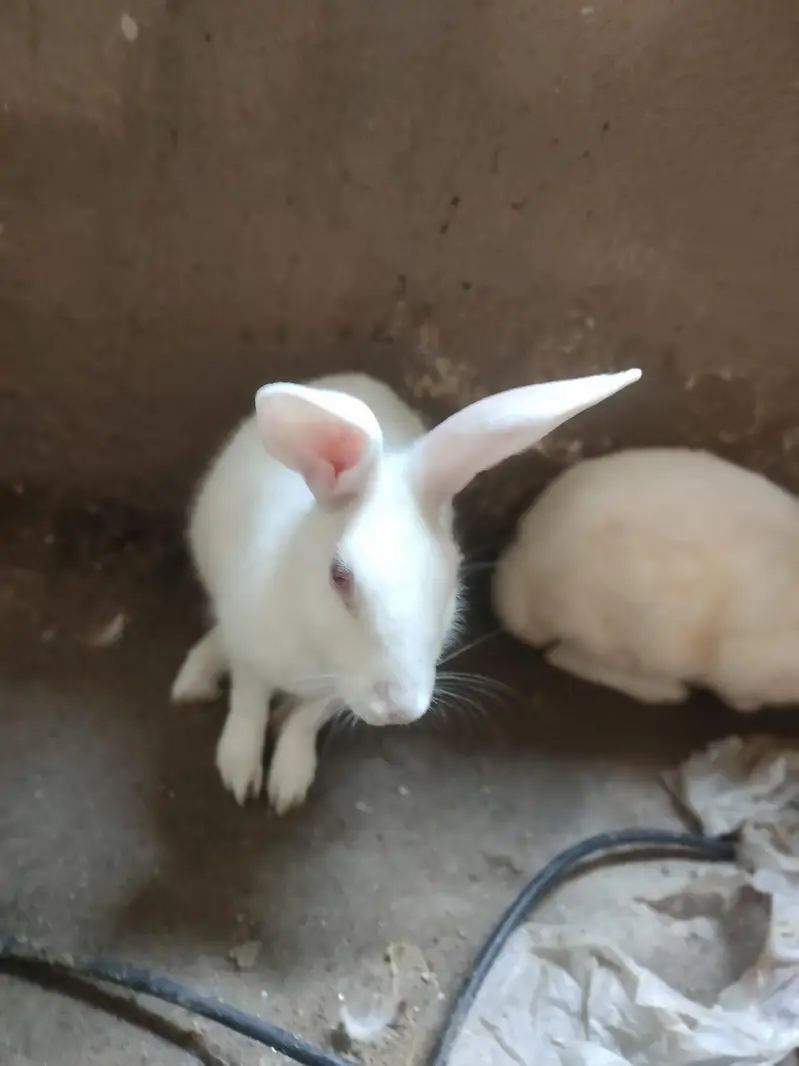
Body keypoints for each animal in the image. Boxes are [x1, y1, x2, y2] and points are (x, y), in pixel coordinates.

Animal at [172, 367, 641, 812]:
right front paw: (240, 773)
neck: (315, 654)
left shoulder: (333, 695)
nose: (397, 711)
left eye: (448, 578)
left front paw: (288, 781)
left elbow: (306, 719)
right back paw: (192, 682)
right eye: (339, 576)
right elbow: (247, 703)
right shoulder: (249, 647)